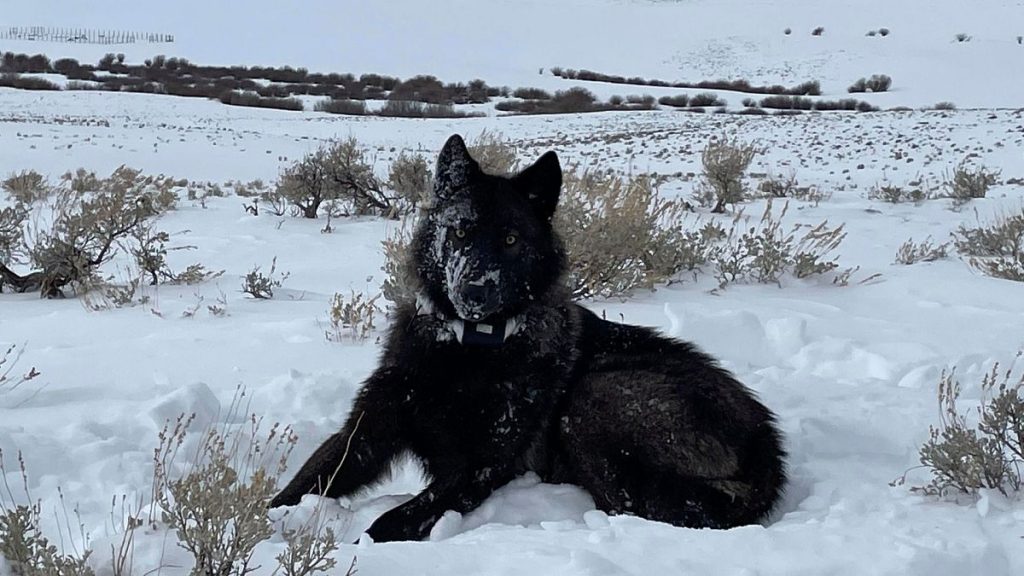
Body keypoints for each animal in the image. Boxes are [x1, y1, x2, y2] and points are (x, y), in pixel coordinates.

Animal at [271, 135, 786, 541]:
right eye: (461, 230)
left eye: (512, 239)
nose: (475, 289)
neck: (469, 351)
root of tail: (767, 447)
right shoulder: (366, 433)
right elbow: (298, 487)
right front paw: (264, 526)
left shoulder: (482, 466)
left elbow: (392, 522)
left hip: (595, 397)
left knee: (636, 505)